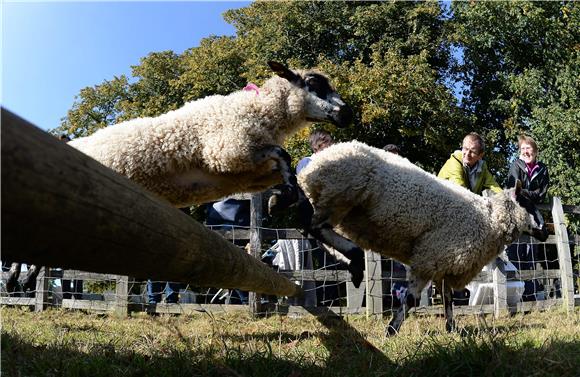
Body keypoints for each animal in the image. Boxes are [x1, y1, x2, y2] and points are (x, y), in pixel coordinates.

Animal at [71, 62, 354, 207]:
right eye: (314, 84)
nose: (347, 114)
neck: (258, 110)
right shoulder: (228, 151)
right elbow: (283, 154)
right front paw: (285, 195)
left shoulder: (247, 176)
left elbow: (284, 168)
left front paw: (283, 195)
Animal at [296, 140, 548, 332]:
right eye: (526, 203)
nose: (545, 231)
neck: (489, 220)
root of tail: (316, 163)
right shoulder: (429, 258)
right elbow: (411, 299)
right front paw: (391, 331)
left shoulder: (445, 264)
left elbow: (448, 299)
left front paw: (452, 329)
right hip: (340, 194)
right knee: (315, 228)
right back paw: (355, 259)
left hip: (334, 204)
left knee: (312, 230)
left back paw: (351, 263)